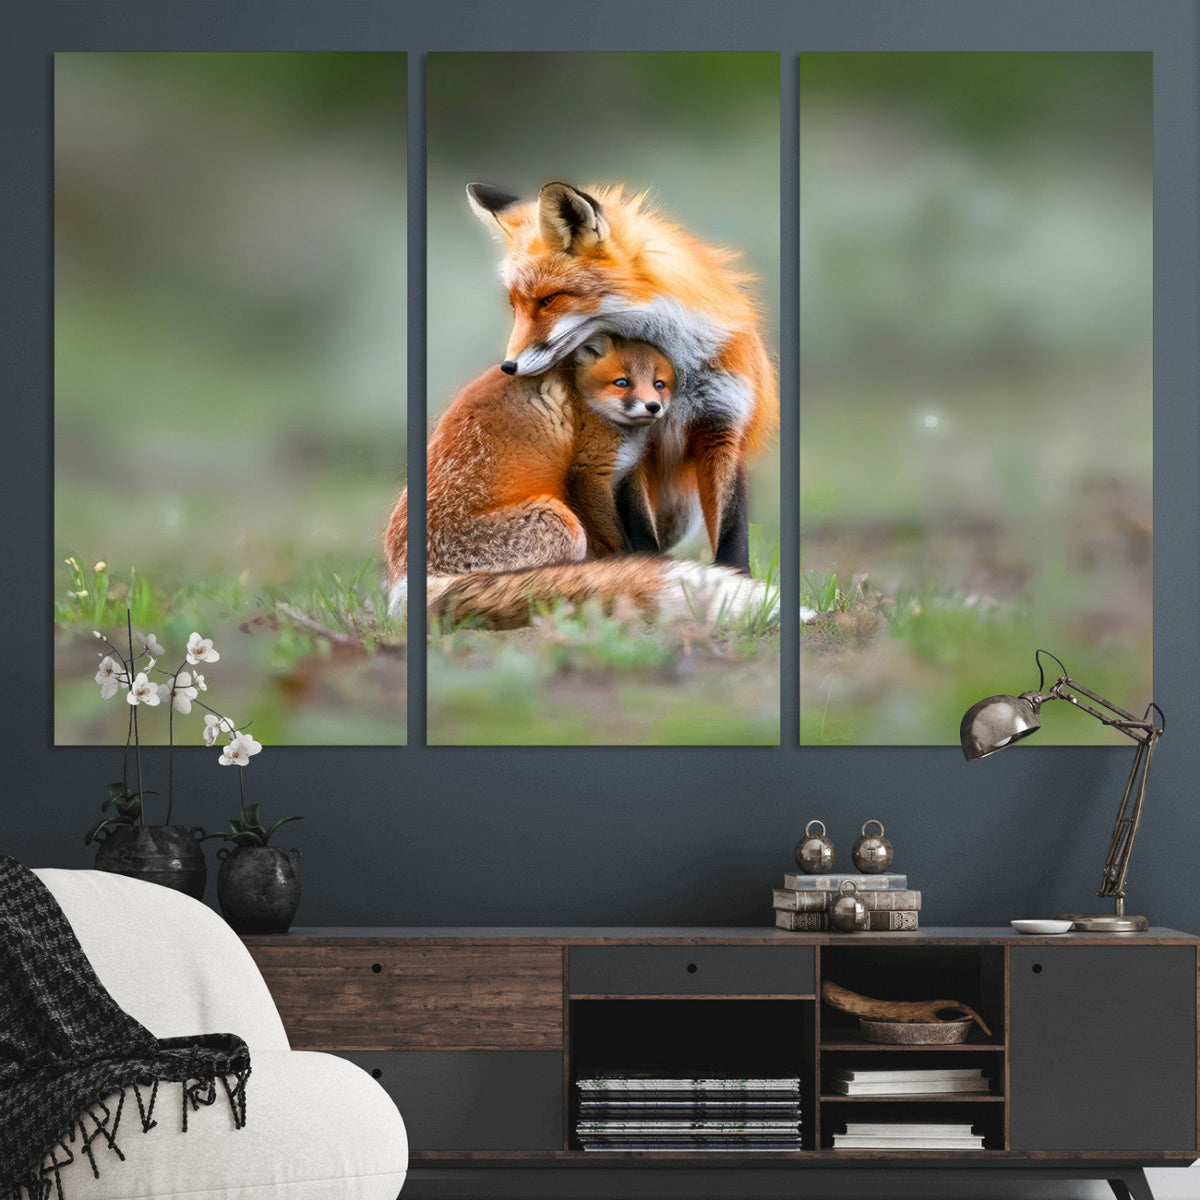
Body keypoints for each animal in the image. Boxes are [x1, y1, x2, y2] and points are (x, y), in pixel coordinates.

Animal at [385, 335, 674, 590]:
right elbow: (615, 540)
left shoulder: (627, 477)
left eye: (659, 384)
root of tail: (400, 569)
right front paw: (632, 565)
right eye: (622, 382)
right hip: (560, 521)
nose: (652, 406)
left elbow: (644, 530)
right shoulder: (589, 475)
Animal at [465, 180, 777, 574]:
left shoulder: (722, 428)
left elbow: (732, 536)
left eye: (548, 300)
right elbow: (641, 532)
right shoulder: (631, 446)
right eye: (515, 306)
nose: (508, 367)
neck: (677, 373)